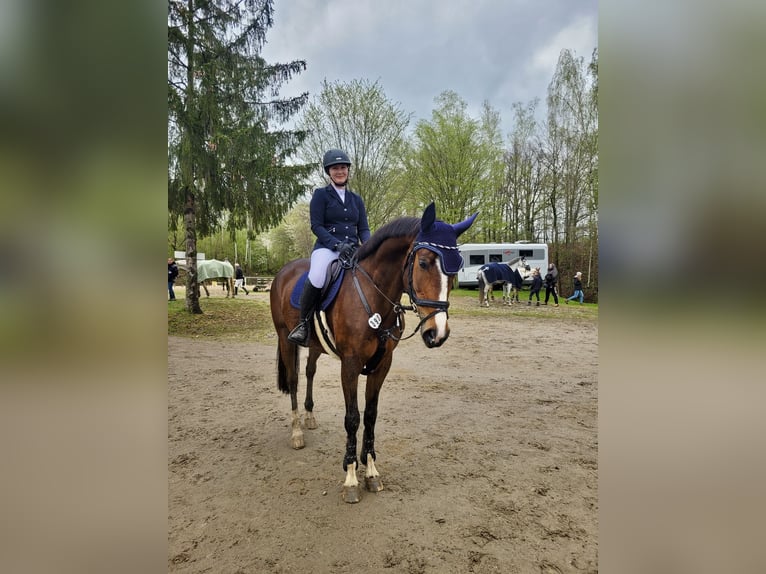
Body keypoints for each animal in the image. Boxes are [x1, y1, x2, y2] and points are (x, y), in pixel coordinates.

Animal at [270, 202, 478, 504]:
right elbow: (353, 418)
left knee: (309, 372)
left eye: (456, 267)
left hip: (317, 346)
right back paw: (297, 431)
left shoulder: (382, 365)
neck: (373, 295)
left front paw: (370, 472)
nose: (437, 333)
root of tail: (284, 271)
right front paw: (350, 477)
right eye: (424, 262)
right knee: (295, 380)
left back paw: (309, 418)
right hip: (286, 340)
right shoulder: (350, 365)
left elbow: (370, 415)